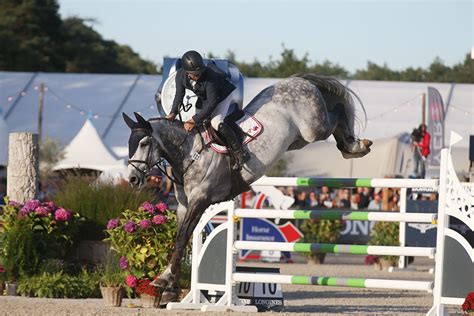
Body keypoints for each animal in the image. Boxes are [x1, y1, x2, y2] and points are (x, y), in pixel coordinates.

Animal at [124, 73, 372, 304]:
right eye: (130, 144)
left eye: (144, 143)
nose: (133, 179)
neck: (189, 152)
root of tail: (299, 80)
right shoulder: (184, 206)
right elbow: (179, 240)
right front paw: (169, 286)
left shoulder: (199, 201)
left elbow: (183, 237)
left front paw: (164, 282)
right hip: (298, 139)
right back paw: (351, 147)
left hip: (313, 128)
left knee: (337, 112)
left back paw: (357, 145)